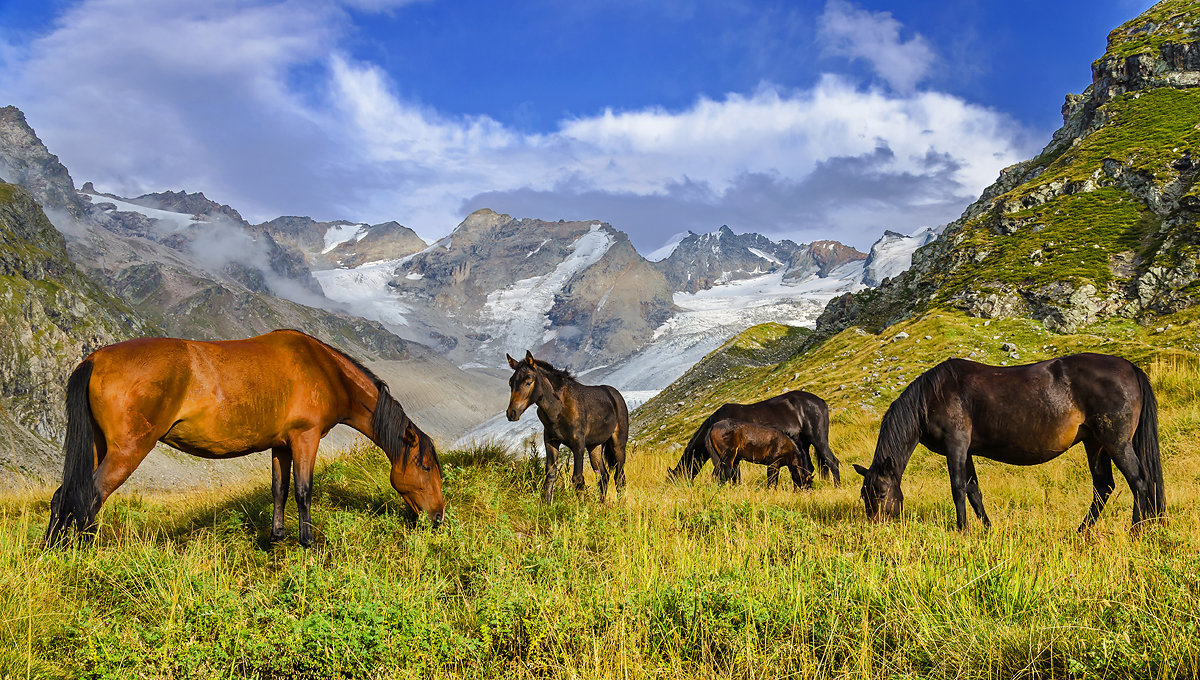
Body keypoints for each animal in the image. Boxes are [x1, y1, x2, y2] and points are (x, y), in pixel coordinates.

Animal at [42, 331, 448, 549]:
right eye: (426, 467)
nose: (439, 517)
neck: (324, 369)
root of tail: (94, 359)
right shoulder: (305, 439)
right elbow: (303, 491)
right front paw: (308, 543)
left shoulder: (281, 445)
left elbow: (279, 490)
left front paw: (278, 538)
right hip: (127, 450)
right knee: (89, 497)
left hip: (99, 446)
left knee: (65, 495)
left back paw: (53, 551)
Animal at [504, 350, 628, 506]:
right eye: (510, 382)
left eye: (528, 382)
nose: (511, 413)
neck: (558, 408)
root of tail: (616, 396)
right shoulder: (551, 441)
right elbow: (551, 475)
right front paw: (548, 505)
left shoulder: (578, 444)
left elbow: (578, 479)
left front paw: (581, 508)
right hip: (594, 446)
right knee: (603, 476)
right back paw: (601, 505)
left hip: (618, 445)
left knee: (619, 477)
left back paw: (620, 506)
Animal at [859, 354, 1166, 534]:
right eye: (865, 496)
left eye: (882, 493)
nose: (876, 528)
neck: (933, 395)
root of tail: (1131, 368)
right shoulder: (966, 451)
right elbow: (973, 490)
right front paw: (986, 528)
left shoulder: (955, 446)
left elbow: (958, 489)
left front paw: (962, 530)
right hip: (1095, 443)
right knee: (1104, 487)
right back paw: (1082, 531)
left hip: (1116, 442)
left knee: (1139, 481)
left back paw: (1136, 530)